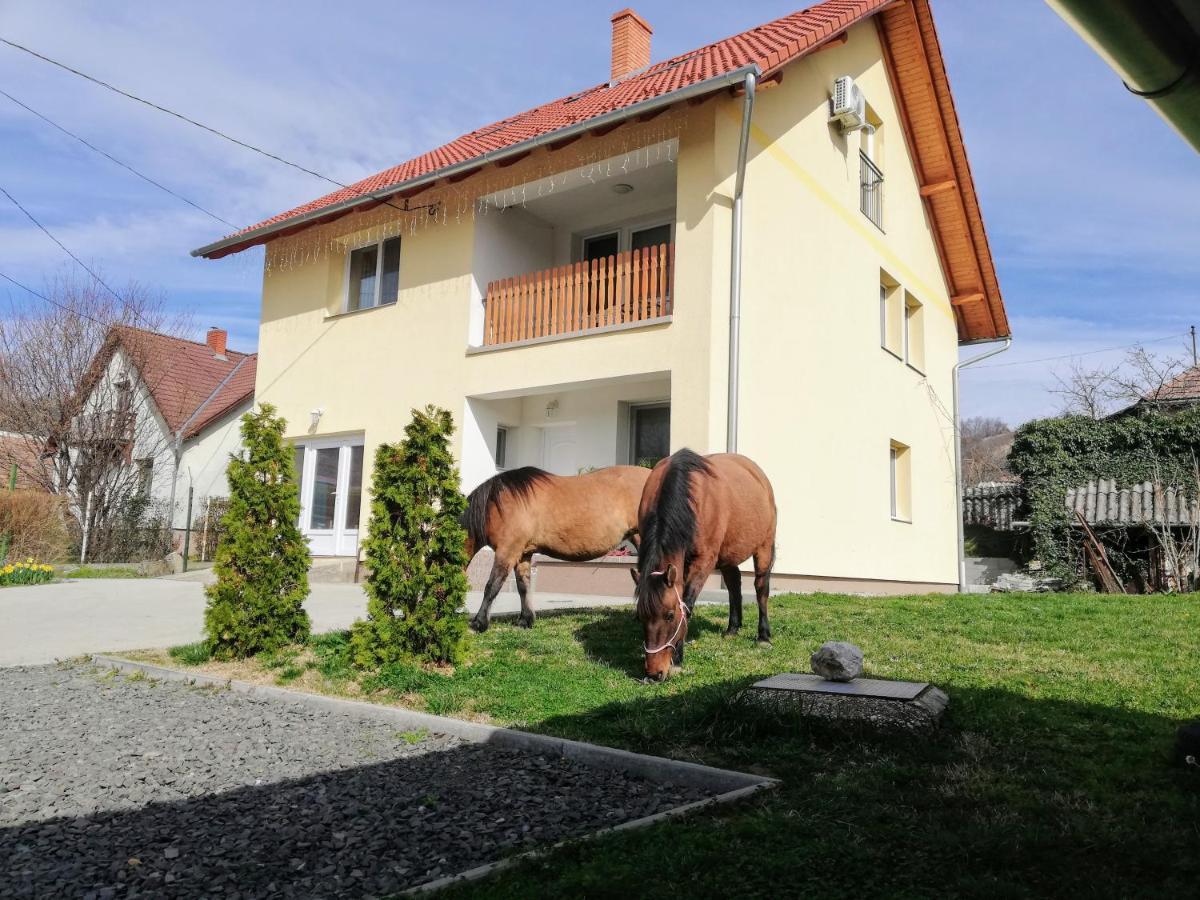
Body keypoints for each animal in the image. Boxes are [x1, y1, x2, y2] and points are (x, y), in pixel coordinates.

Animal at [460, 465, 648, 633]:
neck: (498, 504)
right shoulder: (523, 554)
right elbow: (523, 586)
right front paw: (525, 620)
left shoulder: (507, 551)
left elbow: (492, 586)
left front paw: (479, 623)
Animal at [628, 451, 777, 681]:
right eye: (639, 617)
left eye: (670, 615)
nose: (654, 673)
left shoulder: (704, 560)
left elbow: (687, 605)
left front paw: (678, 658)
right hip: (727, 554)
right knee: (734, 584)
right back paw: (732, 628)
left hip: (764, 546)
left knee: (761, 588)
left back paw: (763, 636)